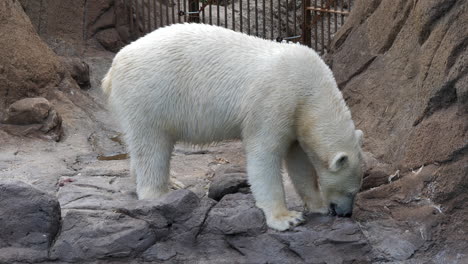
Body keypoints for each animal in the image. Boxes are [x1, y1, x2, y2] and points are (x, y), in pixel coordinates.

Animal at [102, 23, 364, 231]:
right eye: (351, 191)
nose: (346, 212)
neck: (310, 89)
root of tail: (114, 67)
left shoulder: (296, 117)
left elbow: (299, 162)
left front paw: (317, 205)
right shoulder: (274, 101)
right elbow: (264, 155)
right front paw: (286, 218)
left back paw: (171, 181)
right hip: (149, 94)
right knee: (152, 145)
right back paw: (160, 194)